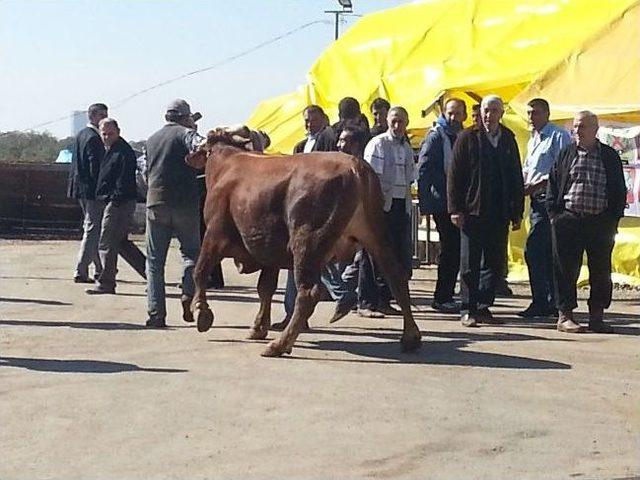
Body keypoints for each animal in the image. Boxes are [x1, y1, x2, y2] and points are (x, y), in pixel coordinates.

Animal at [188, 127, 422, 356]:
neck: (227, 162)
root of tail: (354, 165)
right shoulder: (270, 250)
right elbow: (265, 288)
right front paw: (258, 327)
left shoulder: (214, 234)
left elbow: (200, 270)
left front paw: (201, 311)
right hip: (376, 235)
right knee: (396, 276)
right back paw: (410, 337)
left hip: (306, 242)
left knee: (308, 293)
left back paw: (279, 345)